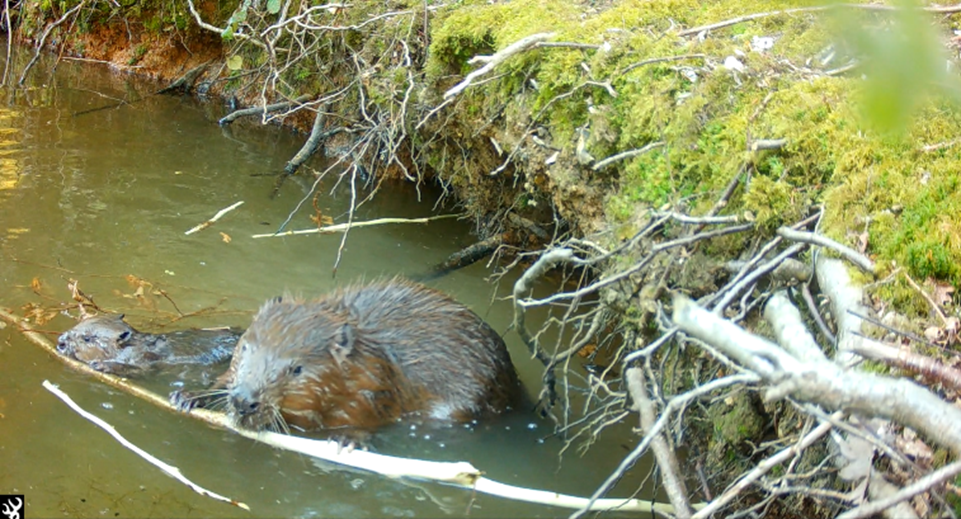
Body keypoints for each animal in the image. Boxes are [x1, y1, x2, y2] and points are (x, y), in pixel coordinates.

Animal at [57, 312, 242, 378]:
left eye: (87, 338)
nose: (61, 342)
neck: (136, 346)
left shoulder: (147, 359)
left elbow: (142, 371)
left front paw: (101, 365)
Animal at [169, 278, 520, 432]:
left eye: (297, 369)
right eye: (245, 348)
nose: (244, 400)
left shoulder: (372, 383)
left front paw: (350, 438)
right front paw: (187, 396)